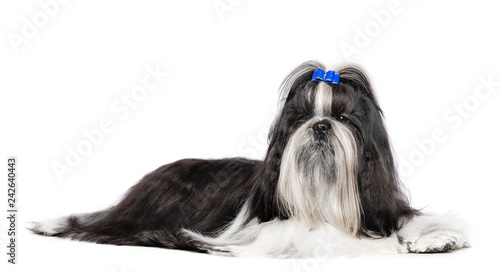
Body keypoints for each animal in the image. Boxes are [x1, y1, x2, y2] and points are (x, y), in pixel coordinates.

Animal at [31, 61, 468, 258]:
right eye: (302, 117)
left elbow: (410, 220)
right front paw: (391, 246)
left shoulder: (382, 205)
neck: (324, 196)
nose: (320, 126)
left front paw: (436, 237)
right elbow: (334, 238)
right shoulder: (276, 230)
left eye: (343, 118)